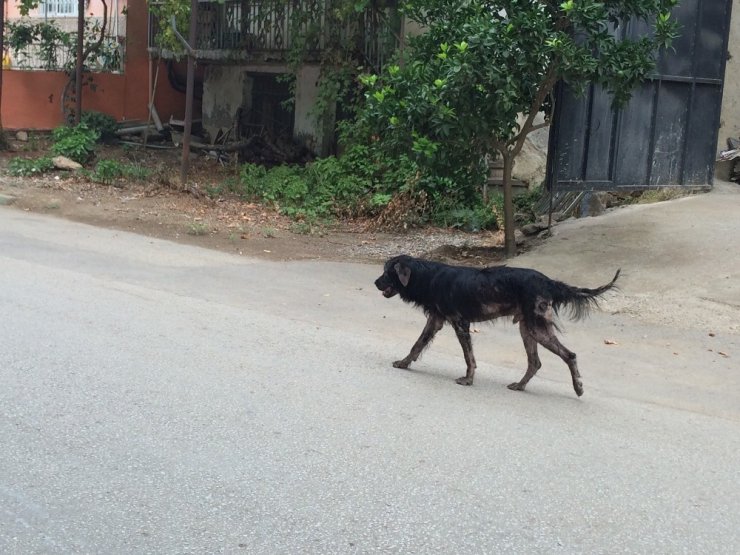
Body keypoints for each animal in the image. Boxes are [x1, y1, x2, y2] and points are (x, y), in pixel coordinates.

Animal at [372, 254, 620, 398]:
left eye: (386, 272)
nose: (375, 282)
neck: (429, 276)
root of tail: (549, 282)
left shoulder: (460, 323)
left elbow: (469, 357)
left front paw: (468, 379)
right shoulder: (436, 320)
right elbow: (417, 344)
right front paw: (404, 363)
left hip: (537, 328)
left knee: (570, 355)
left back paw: (578, 387)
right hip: (527, 329)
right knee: (536, 362)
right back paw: (520, 386)